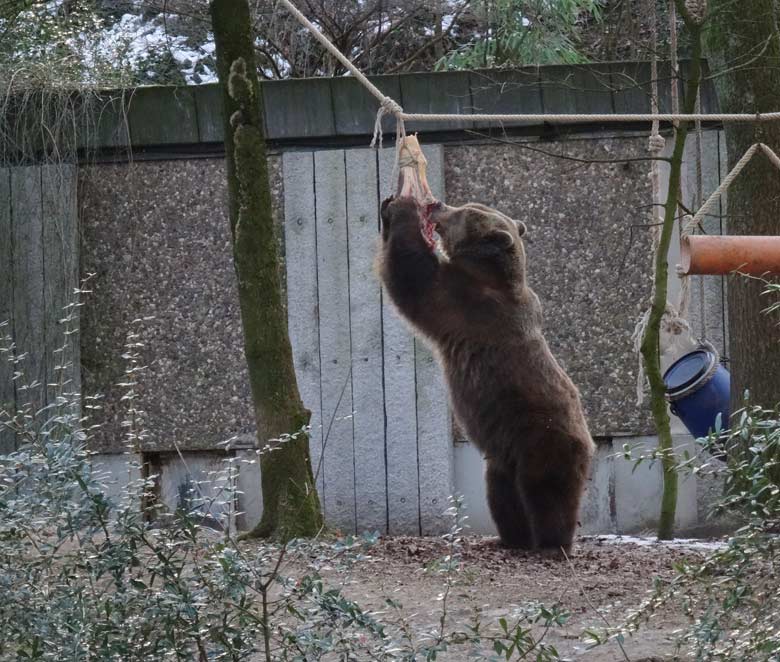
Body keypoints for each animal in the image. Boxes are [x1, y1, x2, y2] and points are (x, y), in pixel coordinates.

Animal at [374, 197, 596, 556]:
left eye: (462, 212)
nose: (438, 204)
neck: (492, 274)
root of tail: (590, 443)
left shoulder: (467, 304)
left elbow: (414, 280)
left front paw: (403, 206)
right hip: (504, 454)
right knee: (502, 494)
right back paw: (509, 538)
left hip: (544, 439)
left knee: (548, 494)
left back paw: (552, 543)